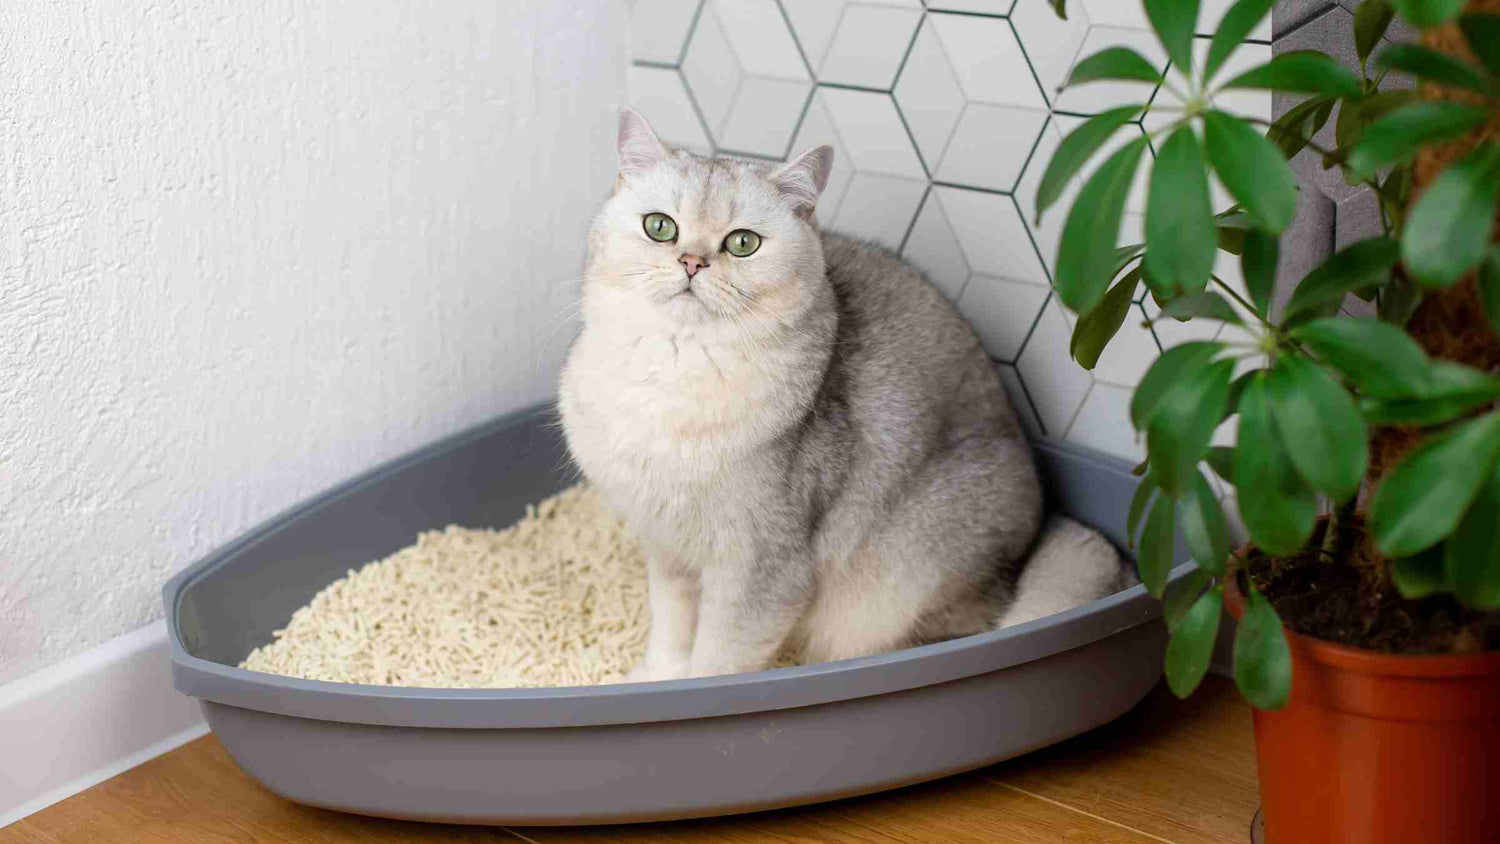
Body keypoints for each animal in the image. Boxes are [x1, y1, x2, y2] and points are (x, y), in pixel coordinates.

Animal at [558, 112, 1128, 683]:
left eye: (742, 243)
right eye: (660, 227)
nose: (693, 262)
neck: (679, 369)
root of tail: (1039, 532)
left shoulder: (762, 568)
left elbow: (718, 660)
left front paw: (692, 691)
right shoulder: (667, 549)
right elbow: (672, 630)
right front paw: (656, 676)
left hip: (900, 588)